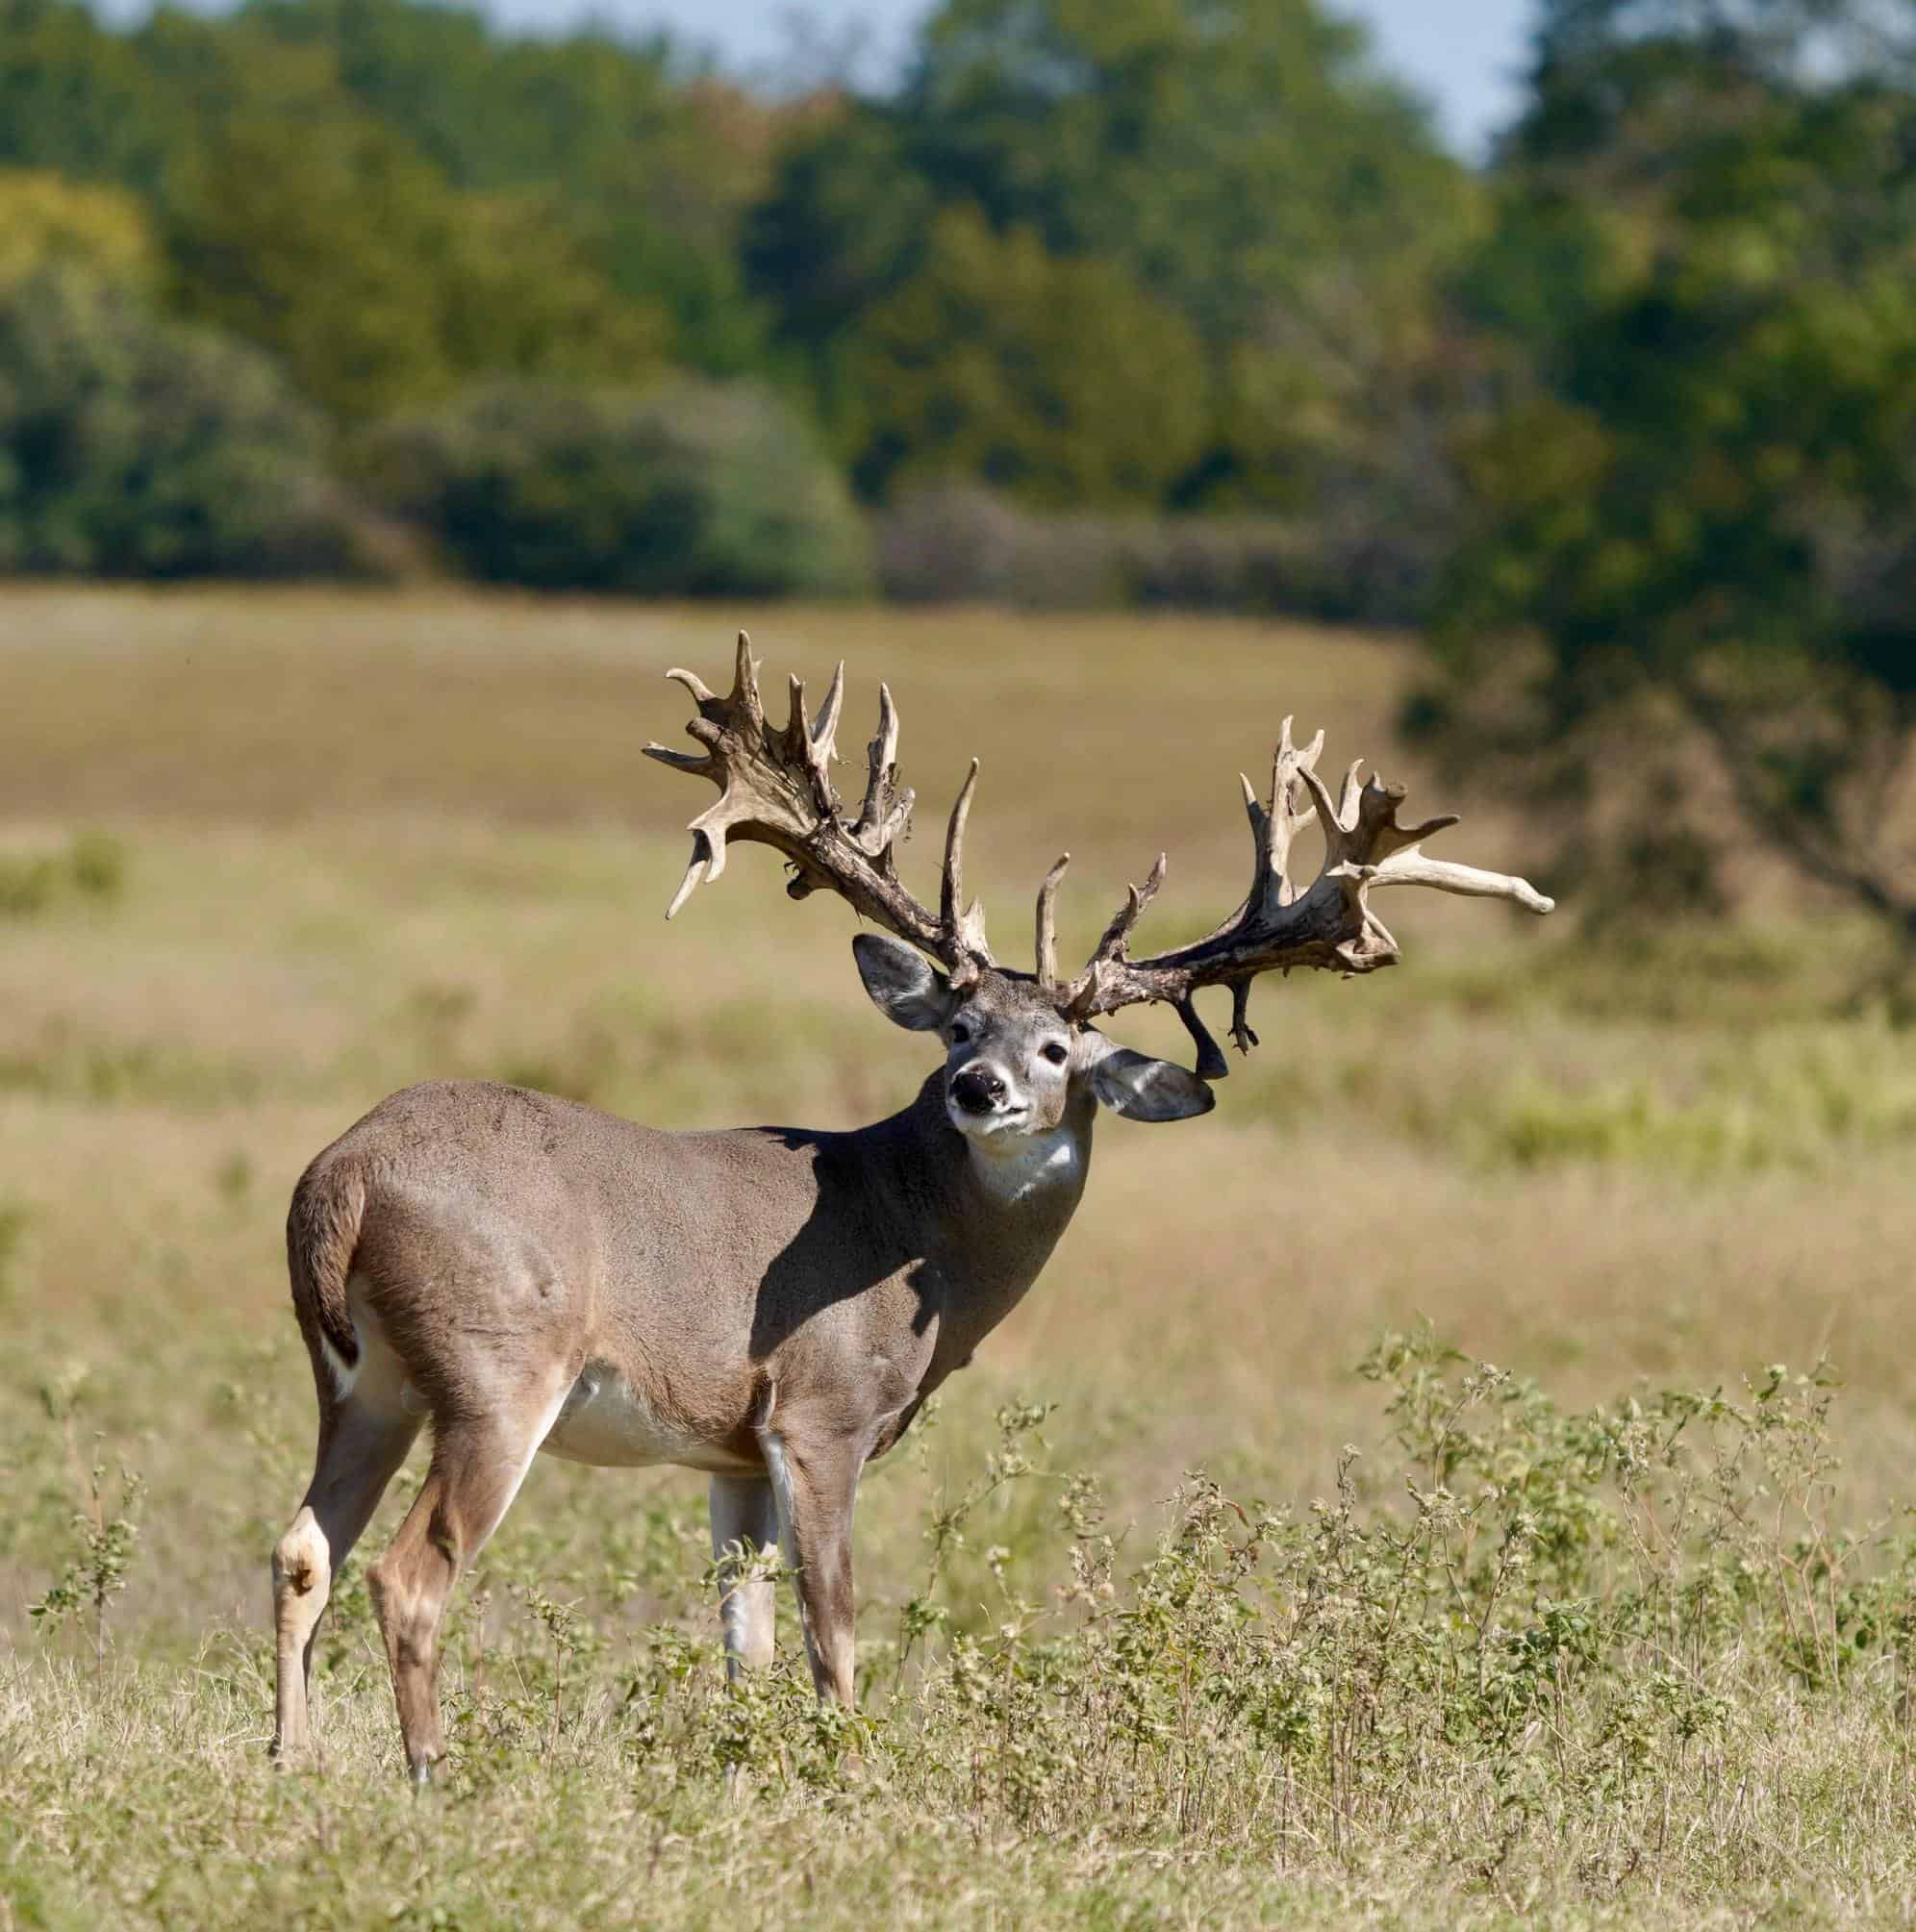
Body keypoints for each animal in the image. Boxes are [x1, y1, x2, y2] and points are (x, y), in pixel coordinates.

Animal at [269, 634, 1553, 1781]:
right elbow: (834, 1634)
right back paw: (429, 1770)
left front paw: (750, 1770)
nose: (977, 1086)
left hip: (364, 1380)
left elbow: (746, 1643)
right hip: (497, 1366)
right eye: (958, 1024)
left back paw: (292, 1758)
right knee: (407, 1573)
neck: (906, 1231)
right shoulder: (822, 1410)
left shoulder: (732, 1450)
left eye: (1057, 1047)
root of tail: (343, 1174)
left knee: (301, 1548)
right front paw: (852, 1775)